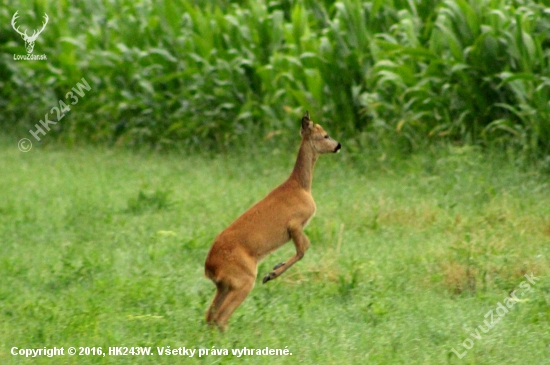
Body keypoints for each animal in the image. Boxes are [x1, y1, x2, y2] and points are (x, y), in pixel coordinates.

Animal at [205, 109, 342, 328]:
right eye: (325, 135)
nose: (338, 145)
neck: (300, 186)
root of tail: (209, 268)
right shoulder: (295, 223)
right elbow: (304, 248)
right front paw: (272, 273)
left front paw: (274, 268)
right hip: (243, 279)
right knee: (220, 317)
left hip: (224, 285)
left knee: (209, 316)